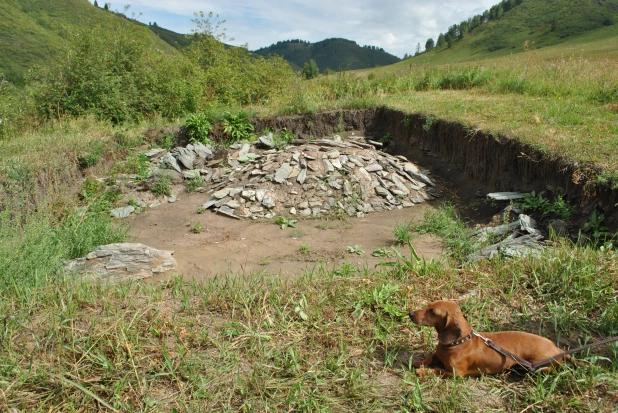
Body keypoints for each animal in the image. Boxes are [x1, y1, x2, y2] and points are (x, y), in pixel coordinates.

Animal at [406, 300, 572, 376]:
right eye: (428, 306)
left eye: (433, 312)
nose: (410, 314)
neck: (458, 343)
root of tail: (559, 350)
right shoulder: (437, 355)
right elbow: (430, 357)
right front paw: (418, 362)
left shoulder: (456, 374)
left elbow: (438, 370)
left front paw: (422, 371)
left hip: (540, 364)